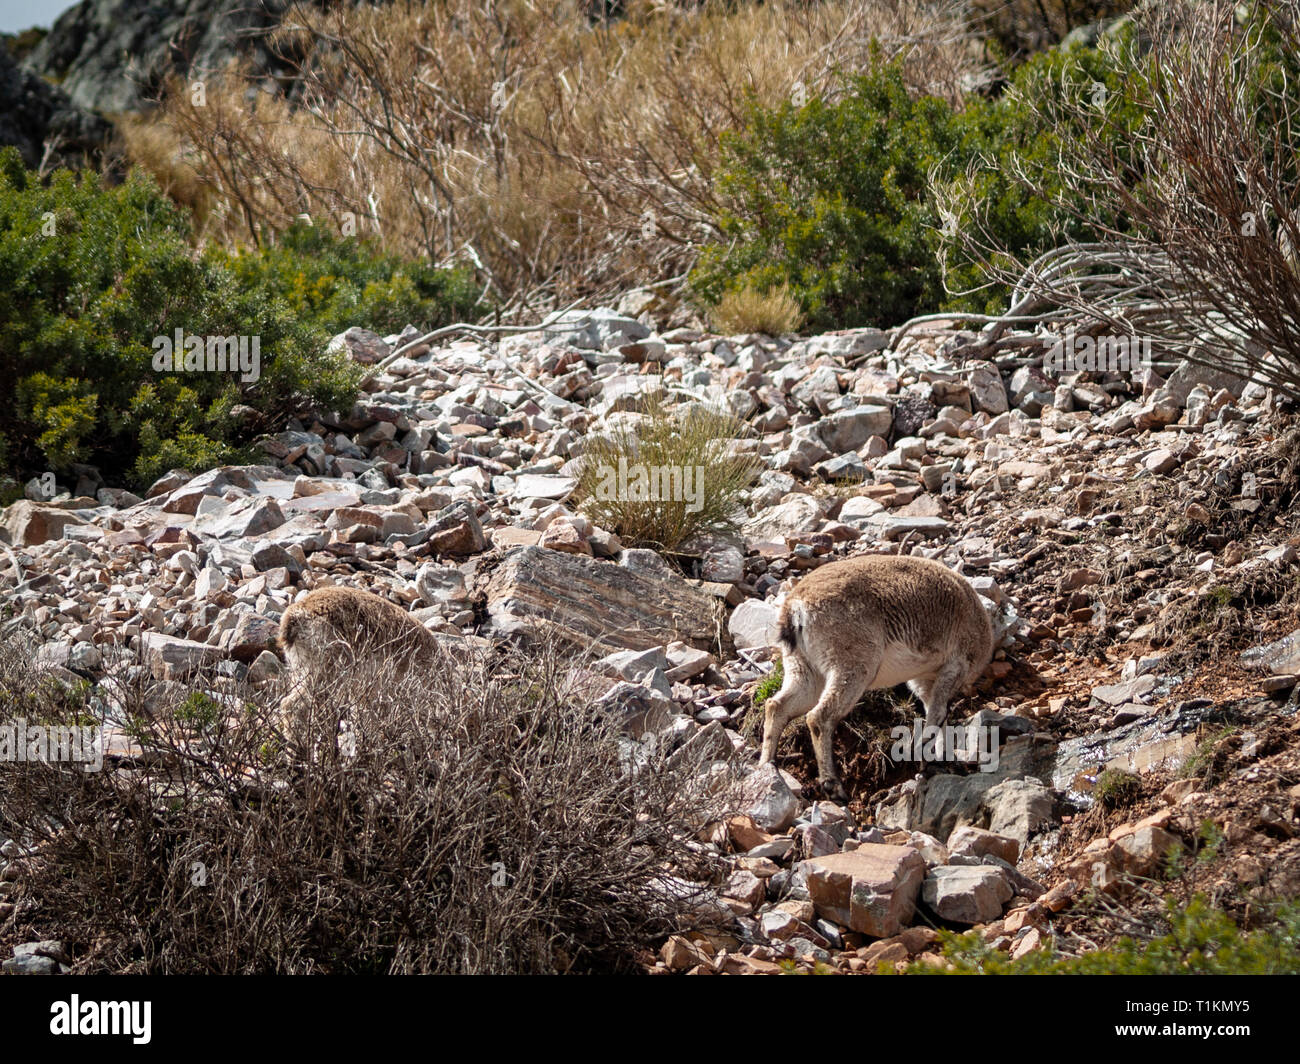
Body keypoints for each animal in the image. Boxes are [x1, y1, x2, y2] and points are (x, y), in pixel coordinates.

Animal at [759, 556, 987, 796]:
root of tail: (795, 609)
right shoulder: (955, 666)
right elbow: (938, 713)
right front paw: (929, 763)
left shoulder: (924, 679)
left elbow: (935, 712)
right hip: (852, 664)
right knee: (819, 717)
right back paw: (833, 785)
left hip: (802, 668)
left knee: (777, 706)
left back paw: (767, 766)